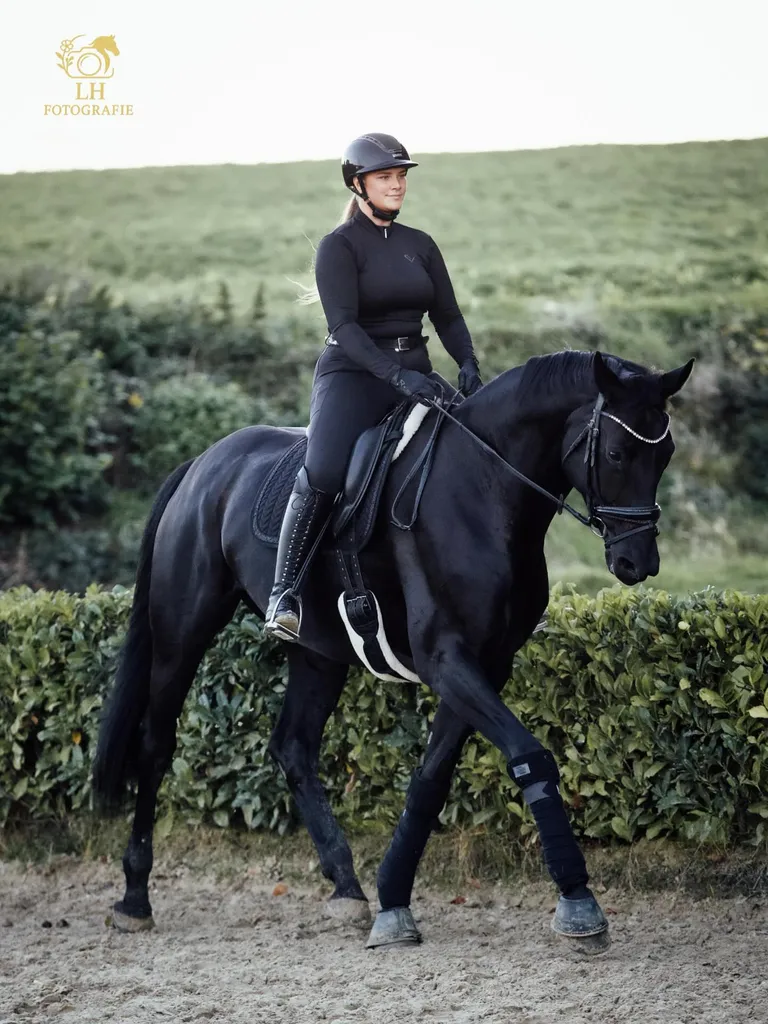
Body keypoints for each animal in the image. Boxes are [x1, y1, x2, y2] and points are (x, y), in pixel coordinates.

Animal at [92, 348, 693, 954]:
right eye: (616, 453)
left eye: (665, 453)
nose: (638, 563)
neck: (485, 490)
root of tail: (202, 464)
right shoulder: (447, 660)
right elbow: (531, 756)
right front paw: (578, 901)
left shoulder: (486, 664)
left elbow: (430, 779)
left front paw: (393, 899)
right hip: (181, 634)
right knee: (156, 746)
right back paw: (134, 898)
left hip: (319, 654)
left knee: (293, 748)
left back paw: (347, 889)